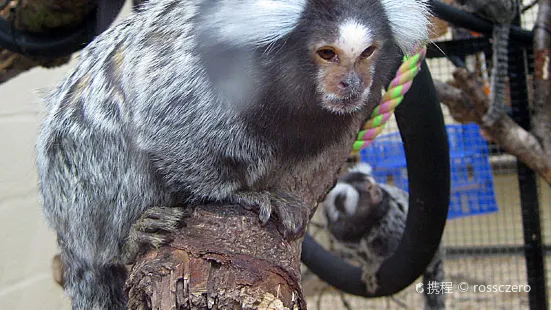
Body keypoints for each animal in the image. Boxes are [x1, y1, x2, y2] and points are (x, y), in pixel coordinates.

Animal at [36, 1, 432, 308]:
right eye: (327, 53)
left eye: (367, 53)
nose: (352, 83)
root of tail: (65, 229)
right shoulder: (193, 82)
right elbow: (165, 131)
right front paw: (241, 194)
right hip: (81, 188)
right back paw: (128, 239)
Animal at [326, 163, 446, 308]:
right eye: (369, 188)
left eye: (374, 184)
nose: (379, 190)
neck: (360, 225)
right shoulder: (341, 235)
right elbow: (360, 252)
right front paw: (369, 264)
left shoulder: (389, 214)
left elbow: (392, 243)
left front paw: (375, 265)